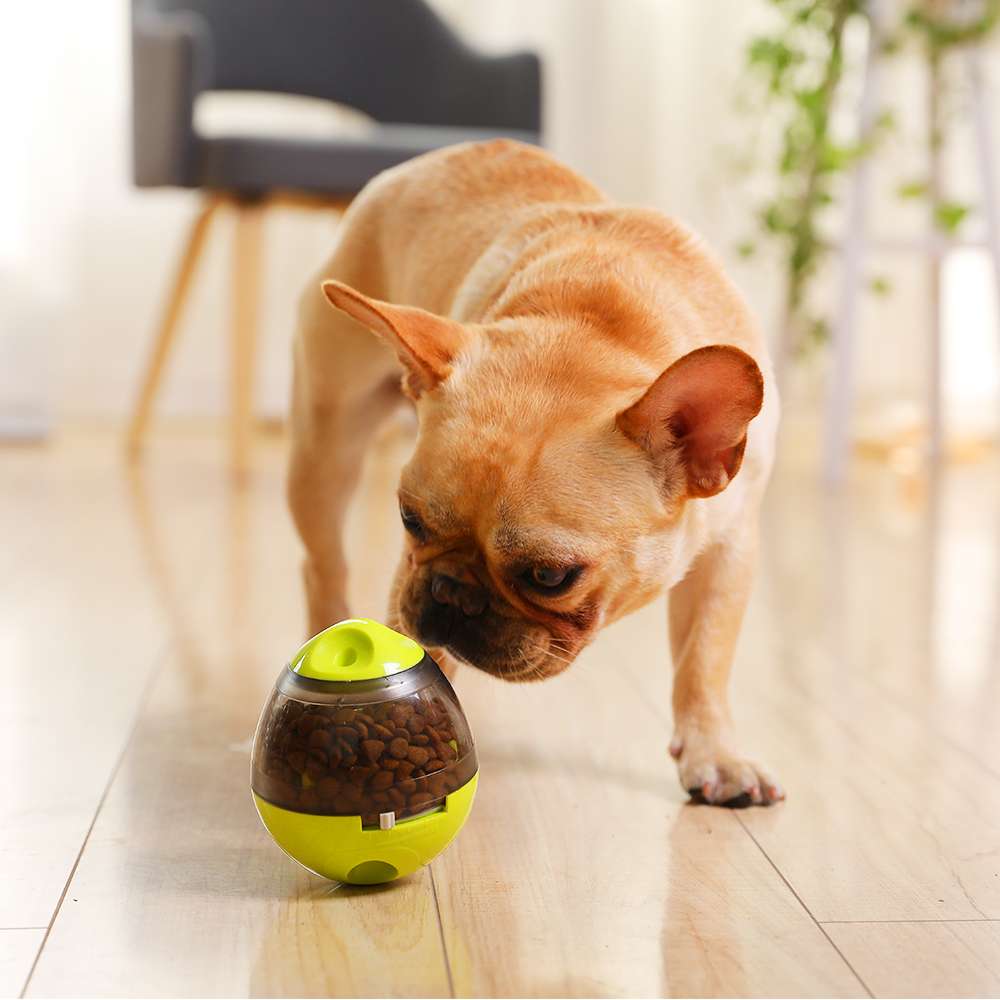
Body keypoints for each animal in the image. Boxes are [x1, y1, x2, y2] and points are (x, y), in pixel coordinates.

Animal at [288, 141, 780, 808]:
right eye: (409, 521)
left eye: (550, 577)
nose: (451, 594)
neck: (597, 330)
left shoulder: (729, 548)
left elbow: (705, 656)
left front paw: (715, 754)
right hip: (325, 445)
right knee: (323, 563)